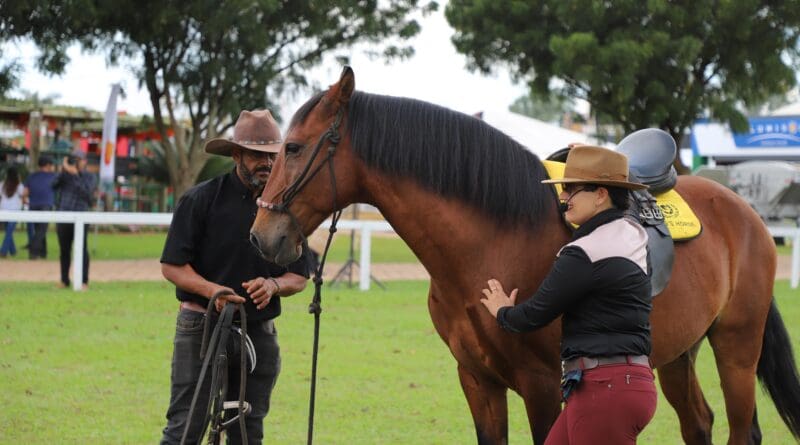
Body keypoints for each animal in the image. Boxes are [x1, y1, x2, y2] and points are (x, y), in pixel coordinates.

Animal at [250, 67, 800, 444]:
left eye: (294, 148)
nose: (260, 237)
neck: (492, 240)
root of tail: (746, 214)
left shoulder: (543, 387)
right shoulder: (478, 381)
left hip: (736, 347)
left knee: (743, 430)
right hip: (678, 353)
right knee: (699, 423)